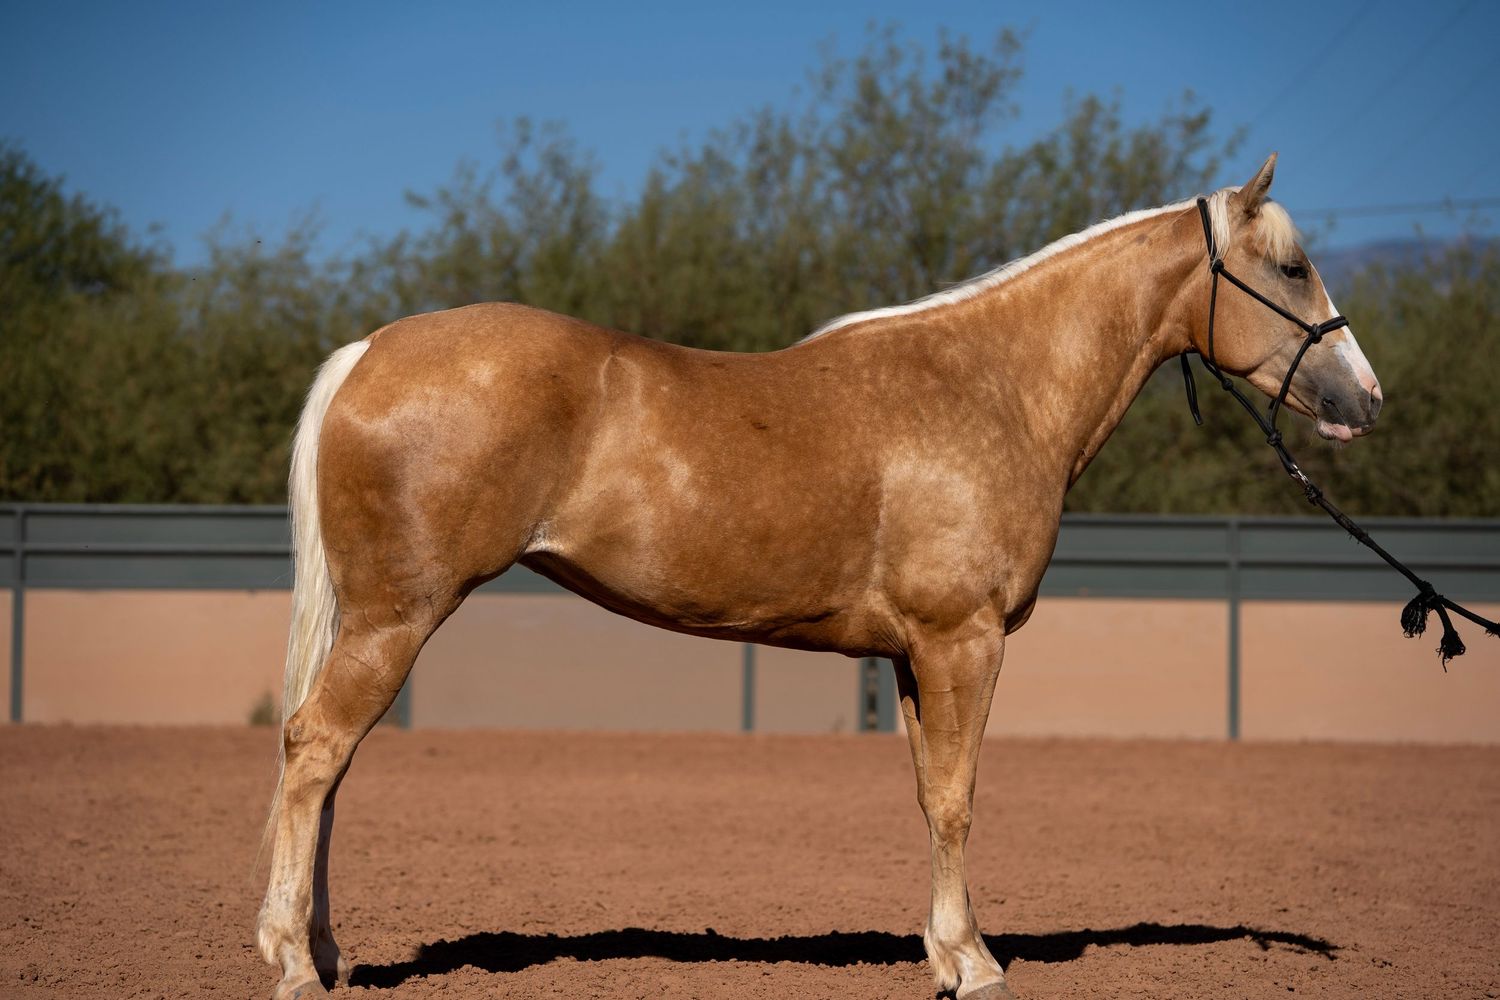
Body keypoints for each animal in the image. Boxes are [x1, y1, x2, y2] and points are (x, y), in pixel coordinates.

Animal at [256, 154, 1382, 1000]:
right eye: (1292, 267)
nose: (1364, 399)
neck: (993, 386)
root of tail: (367, 352)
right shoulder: (963, 640)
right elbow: (959, 798)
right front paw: (976, 965)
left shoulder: (915, 655)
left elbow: (929, 795)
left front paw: (946, 953)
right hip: (396, 619)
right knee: (314, 750)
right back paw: (292, 961)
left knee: (330, 765)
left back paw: (326, 952)